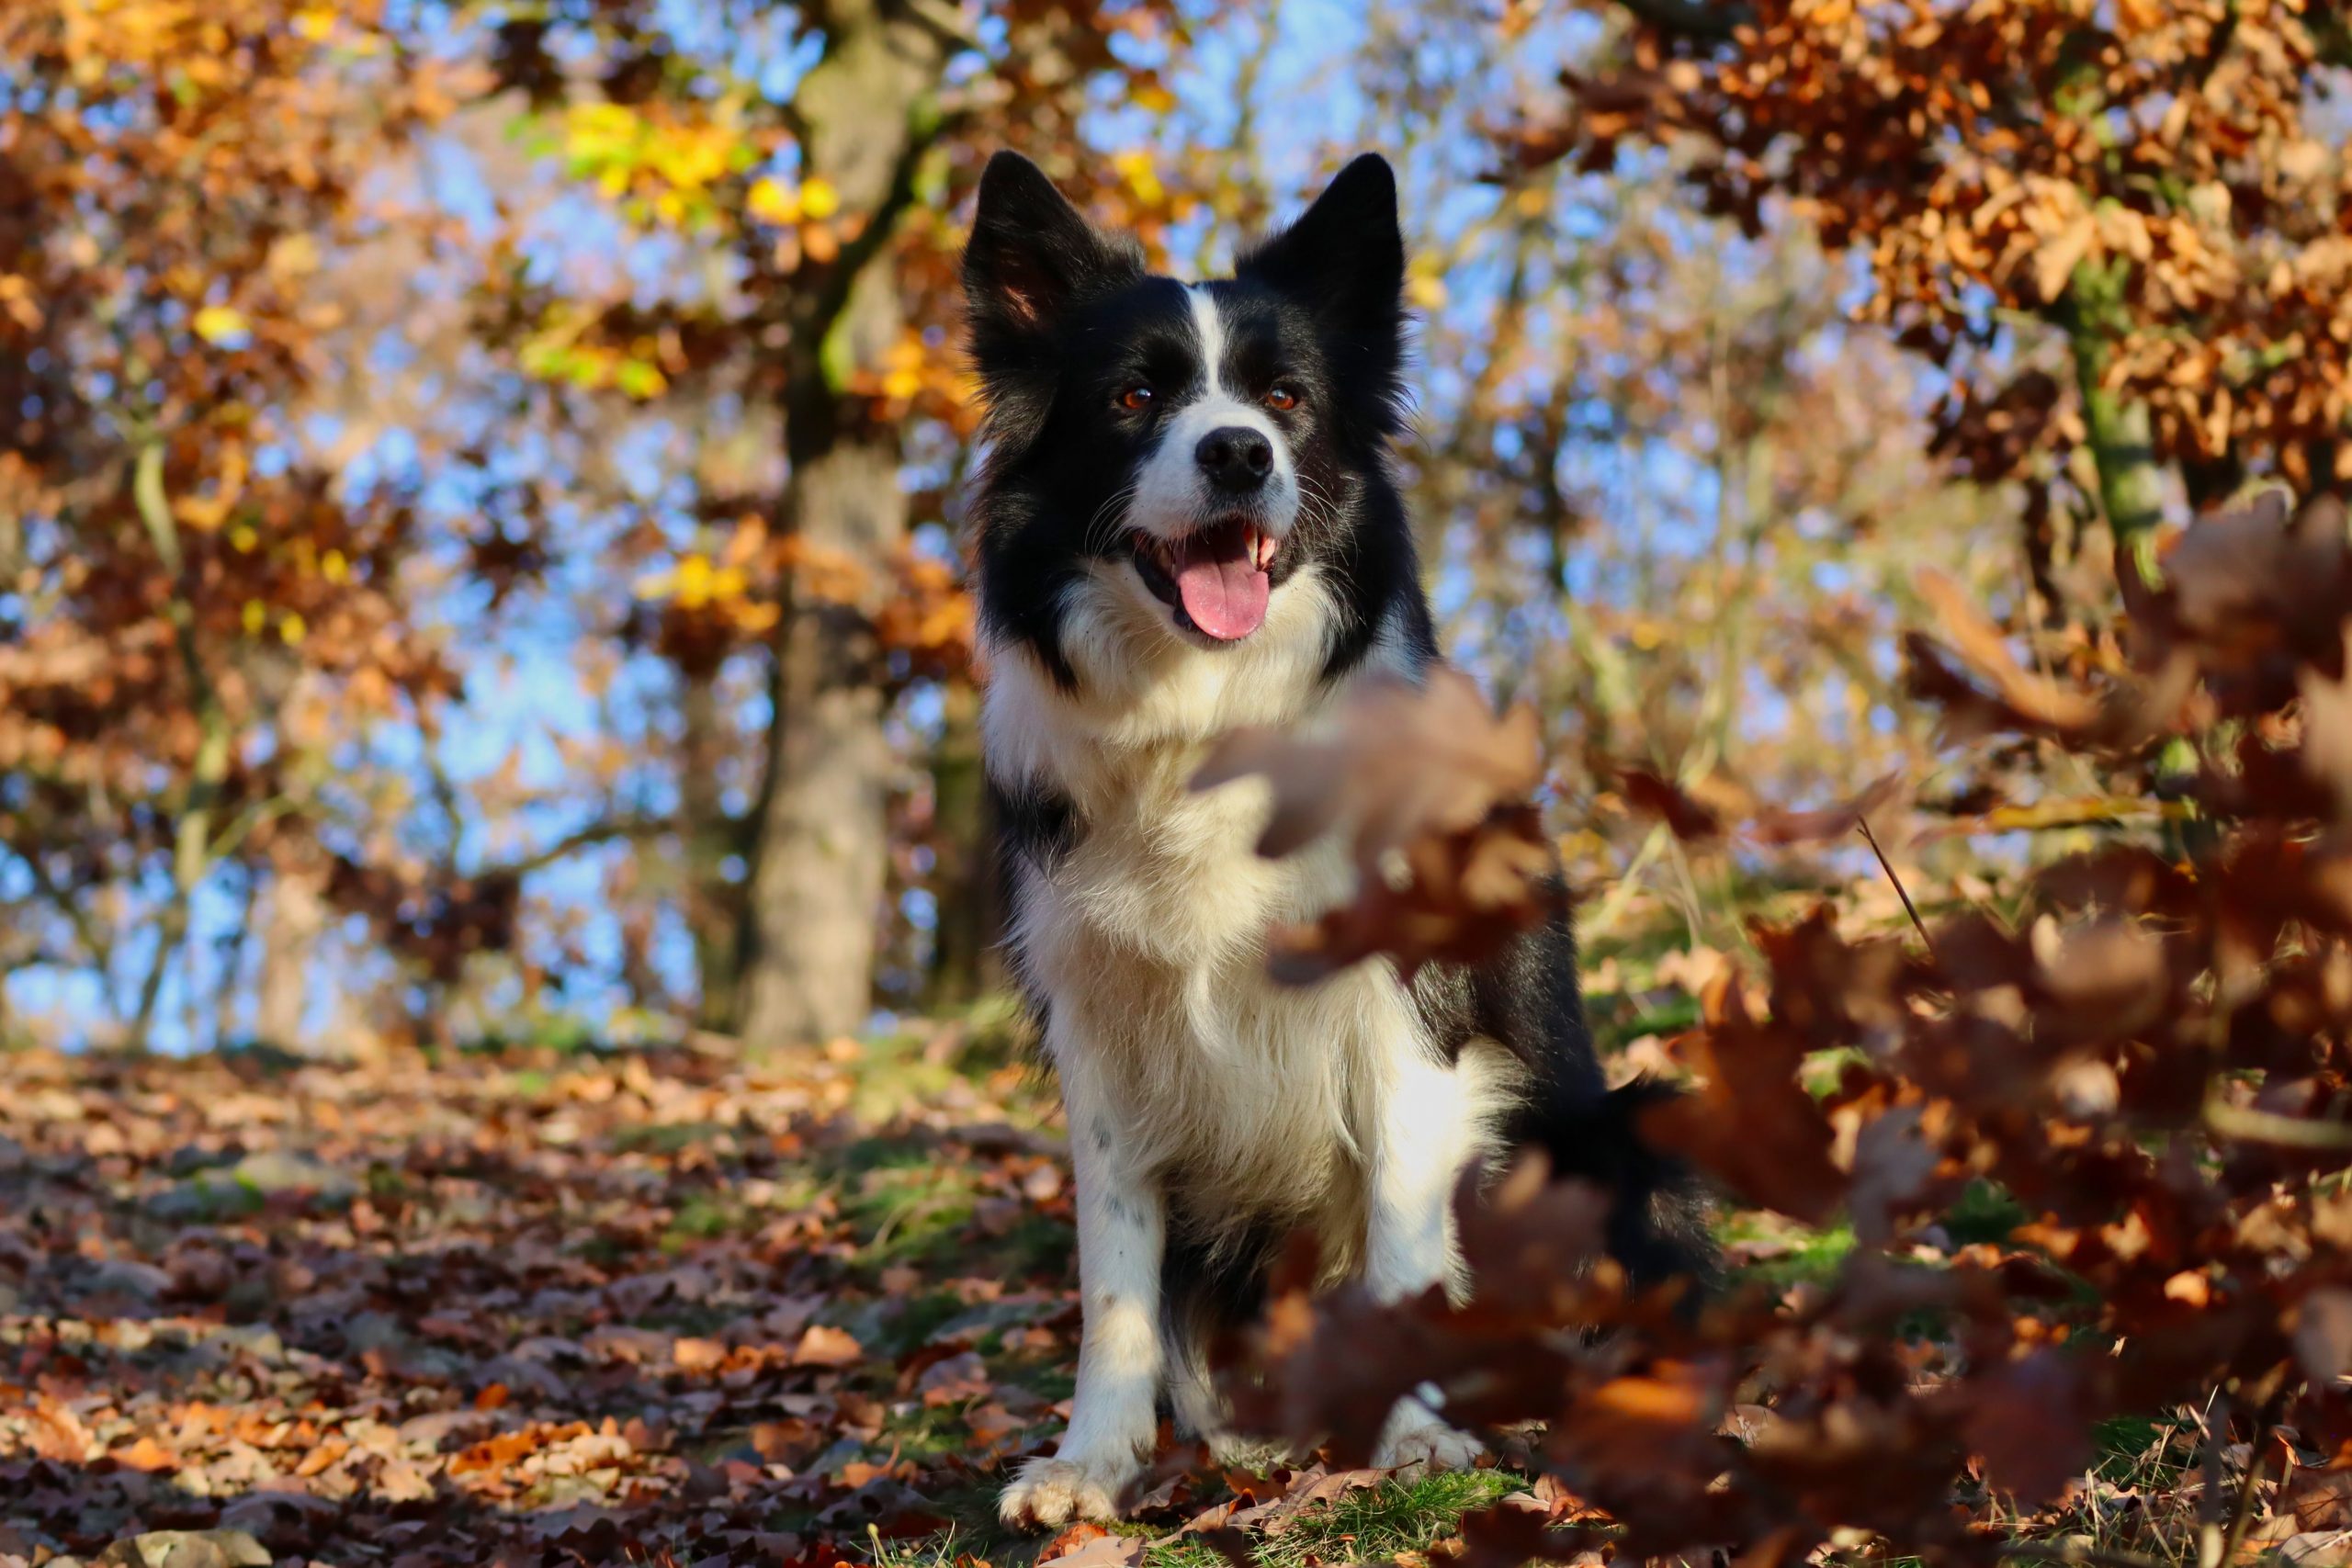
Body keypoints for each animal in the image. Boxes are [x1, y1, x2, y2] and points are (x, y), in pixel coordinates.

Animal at [955, 152, 1712, 1523]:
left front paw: (1417, 1437)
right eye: (1136, 395)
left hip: (1612, 1133)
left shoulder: (1408, 1004)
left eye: (1285, 399)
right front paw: (1091, 1460)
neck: (1206, 717)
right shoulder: (1099, 1027)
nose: (1239, 452)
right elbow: (1113, 1275)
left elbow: (1409, 1232)